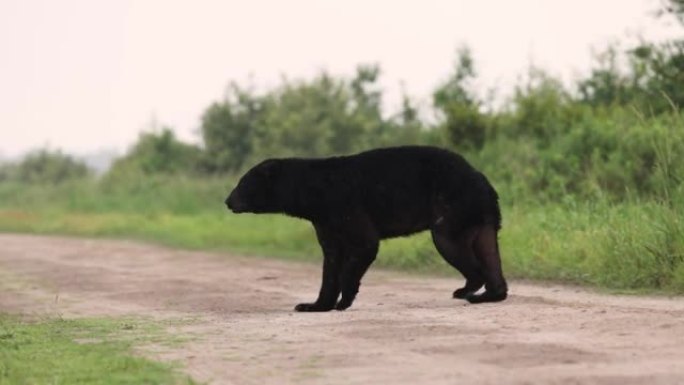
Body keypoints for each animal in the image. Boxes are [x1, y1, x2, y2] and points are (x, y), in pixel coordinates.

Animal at [228, 146, 508, 310]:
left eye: (242, 184)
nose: (227, 200)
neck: (312, 192)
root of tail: (486, 183)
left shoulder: (343, 206)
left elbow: (363, 245)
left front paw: (344, 300)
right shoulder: (325, 222)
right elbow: (330, 262)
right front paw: (313, 304)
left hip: (451, 209)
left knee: (453, 245)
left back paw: (466, 290)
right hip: (478, 218)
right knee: (488, 250)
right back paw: (489, 295)